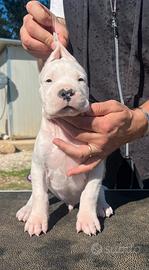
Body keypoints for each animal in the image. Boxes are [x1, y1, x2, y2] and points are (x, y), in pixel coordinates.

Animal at [16, 40, 113, 236]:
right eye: (49, 81)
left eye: (81, 80)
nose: (67, 91)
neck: (62, 128)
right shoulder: (38, 167)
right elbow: (40, 195)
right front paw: (36, 220)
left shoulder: (96, 167)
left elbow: (90, 193)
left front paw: (87, 220)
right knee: (34, 194)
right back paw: (27, 210)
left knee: (101, 191)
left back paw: (102, 206)